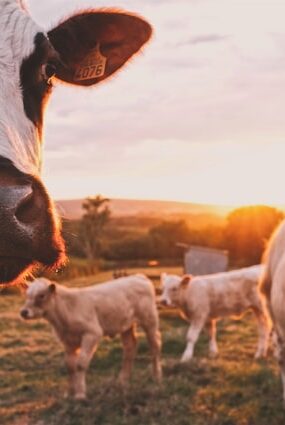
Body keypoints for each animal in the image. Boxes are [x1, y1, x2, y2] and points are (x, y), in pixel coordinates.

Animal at [20, 274, 161, 400]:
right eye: (27, 295)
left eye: (41, 295)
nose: (23, 312)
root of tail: (139, 277)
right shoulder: (68, 341)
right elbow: (70, 366)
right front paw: (70, 393)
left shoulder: (92, 333)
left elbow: (80, 364)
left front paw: (80, 394)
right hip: (126, 325)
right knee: (130, 348)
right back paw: (122, 381)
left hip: (149, 319)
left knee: (155, 344)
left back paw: (156, 376)